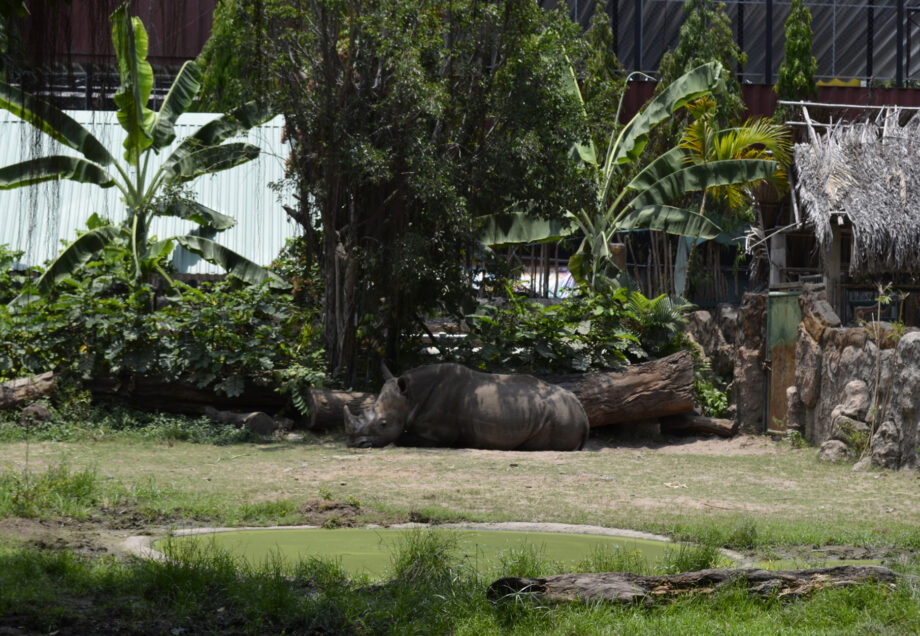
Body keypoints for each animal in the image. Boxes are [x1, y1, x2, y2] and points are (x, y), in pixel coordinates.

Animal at [344, 363, 589, 450]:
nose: (356, 444)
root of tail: (582, 410)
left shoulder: (438, 434)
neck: (410, 397)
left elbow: (401, 438)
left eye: (383, 424)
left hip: (560, 416)